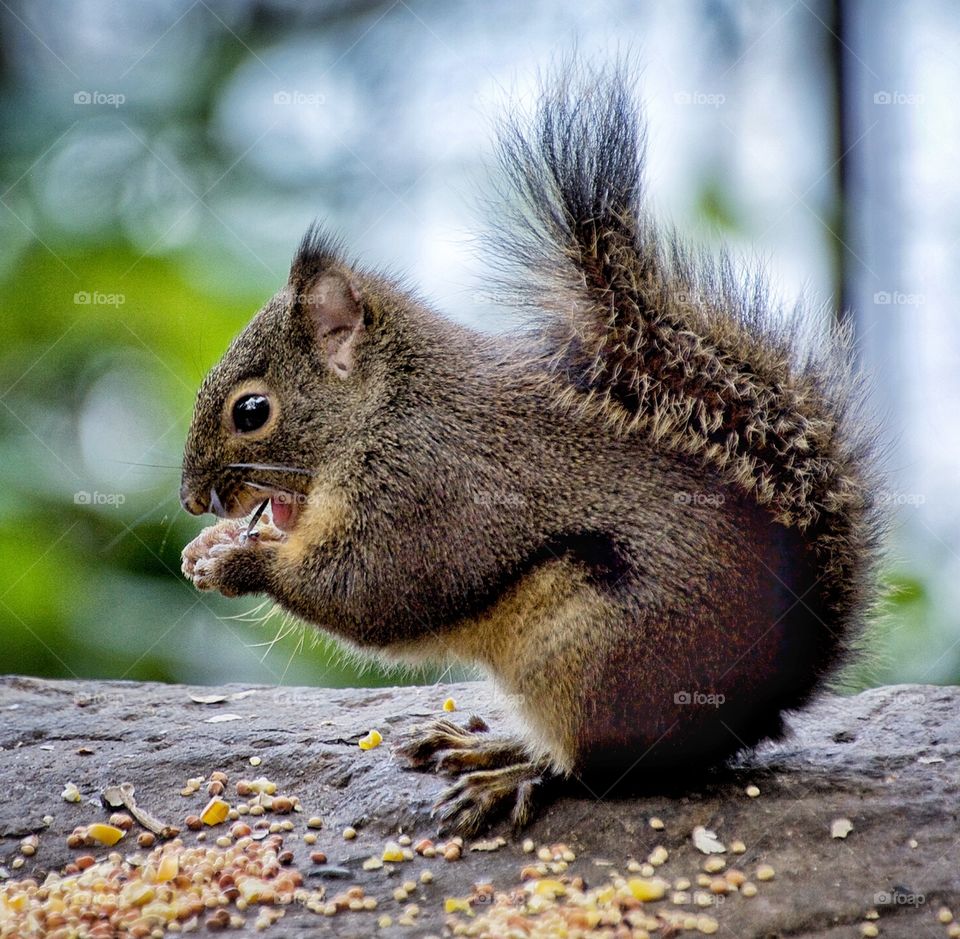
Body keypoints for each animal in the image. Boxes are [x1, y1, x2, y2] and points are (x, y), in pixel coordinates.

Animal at [180, 64, 881, 834]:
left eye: (252, 410)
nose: (191, 500)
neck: (383, 407)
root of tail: (767, 702)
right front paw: (206, 548)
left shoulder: (424, 486)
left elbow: (370, 591)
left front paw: (236, 562)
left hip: (588, 654)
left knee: (590, 765)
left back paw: (510, 771)